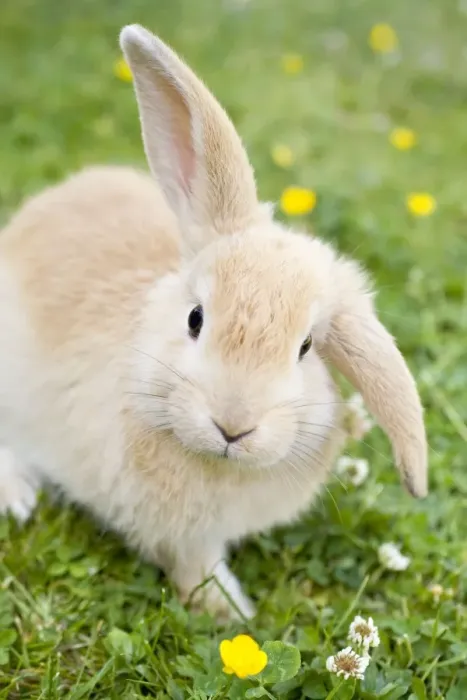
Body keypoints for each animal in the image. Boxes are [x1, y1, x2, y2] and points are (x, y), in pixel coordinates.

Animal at [0, 24, 427, 620]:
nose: (233, 425)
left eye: (306, 347)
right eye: (196, 318)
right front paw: (233, 613)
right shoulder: (177, 535)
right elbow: (192, 568)